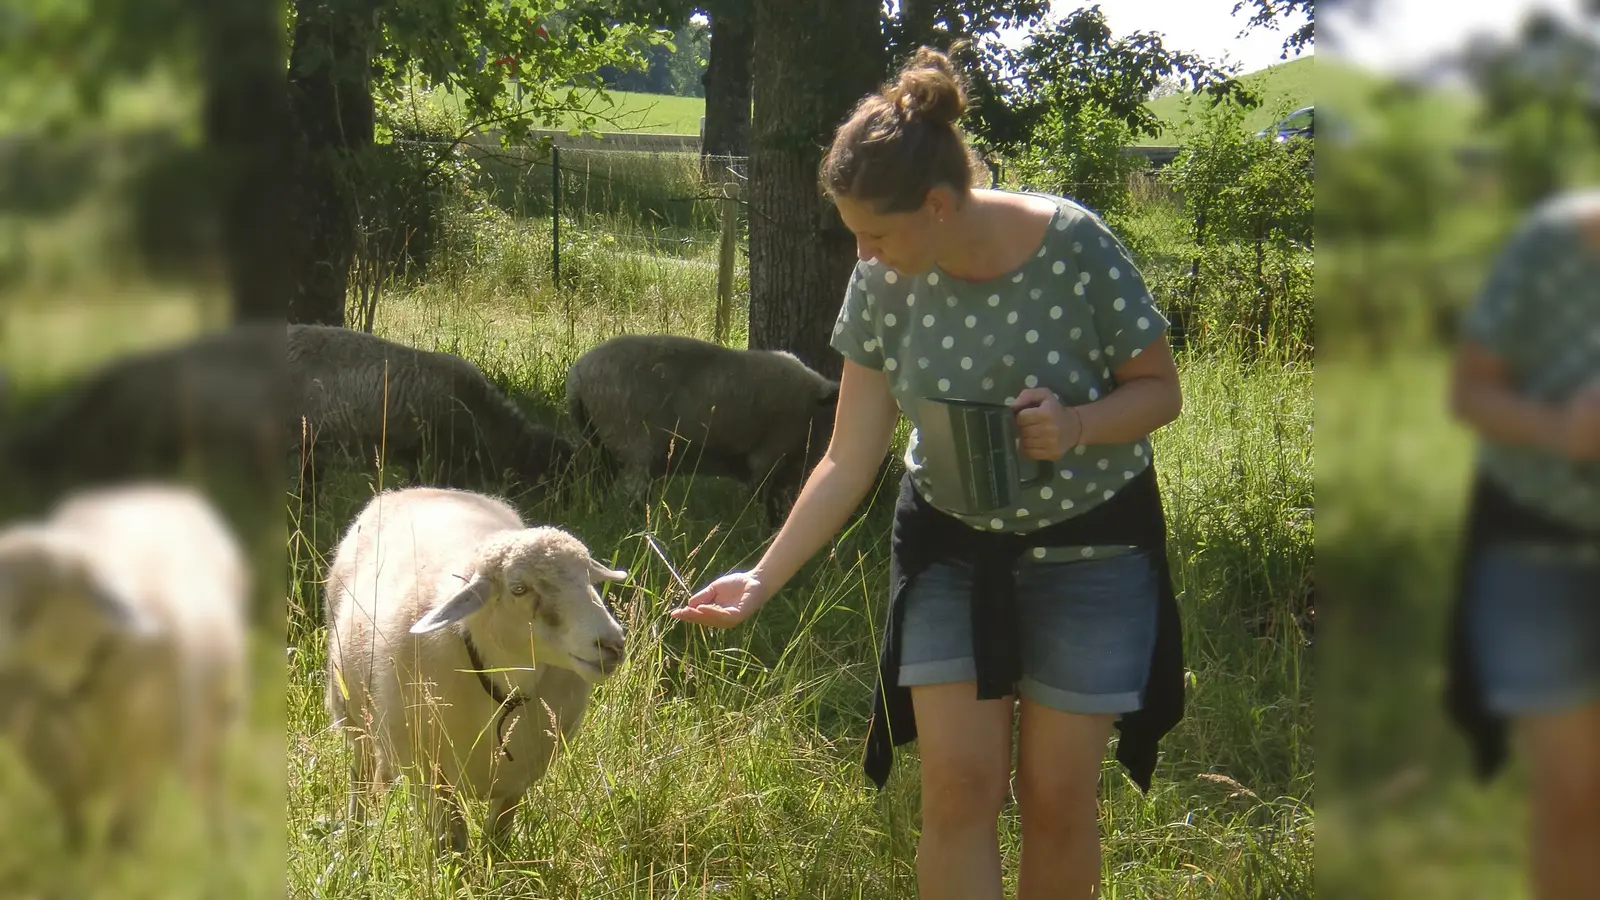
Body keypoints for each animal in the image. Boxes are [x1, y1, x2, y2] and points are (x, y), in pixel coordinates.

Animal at [0, 480, 246, 845]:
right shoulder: (54, 770)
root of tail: (147, 488)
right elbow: (75, 832)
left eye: (34, 602)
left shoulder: (142, 765)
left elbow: (121, 837)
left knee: (207, 781)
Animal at [323, 486, 624, 851]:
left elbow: (497, 841)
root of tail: (415, 489)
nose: (612, 644)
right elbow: (451, 843)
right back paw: (353, 842)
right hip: (353, 715)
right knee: (361, 778)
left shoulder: (520, 777)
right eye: (519, 588)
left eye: (589, 580)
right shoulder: (428, 775)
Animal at [563, 334, 838, 518]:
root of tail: (577, 376)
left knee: (593, 486)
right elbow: (761, 500)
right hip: (631, 440)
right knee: (634, 494)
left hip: (595, 442)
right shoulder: (769, 455)